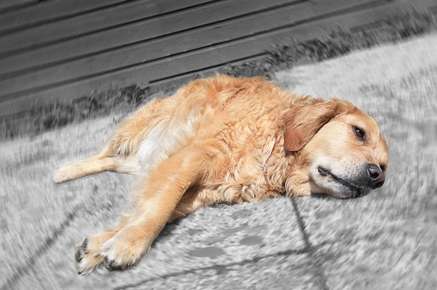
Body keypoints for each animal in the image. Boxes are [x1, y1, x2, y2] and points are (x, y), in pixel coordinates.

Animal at [53, 75, 384, 274]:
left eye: (384, 166)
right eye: (358, 132)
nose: (377, 177)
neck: (275, 141)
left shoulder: (200, 192)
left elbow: (151, 208)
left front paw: (99, 246)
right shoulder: (195, 156)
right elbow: (159, 206)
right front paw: (128, 245)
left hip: (145, 157)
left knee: (117, 163)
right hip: (137, 128)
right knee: (104, 154)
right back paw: (64, 170)